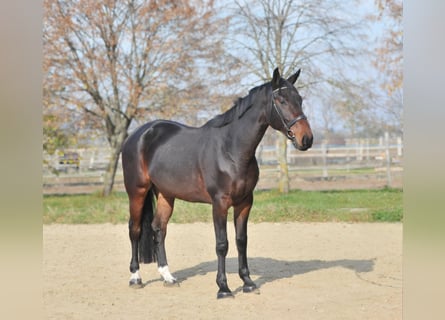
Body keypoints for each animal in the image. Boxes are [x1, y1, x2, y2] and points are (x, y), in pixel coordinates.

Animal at [119, 67, 310, 298]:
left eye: (299, 99)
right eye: (281, 100)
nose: (306, 139)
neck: (231, 149)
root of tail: (138, 135)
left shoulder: (245, 202)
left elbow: (241, 241)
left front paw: (248, 282)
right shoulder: (219, 203)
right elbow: (222, 244)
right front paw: (223, 288)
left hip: (166, 194)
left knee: (159, 229)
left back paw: (168, 277)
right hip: (137, 191)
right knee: (135, 229)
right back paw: (135, 278)